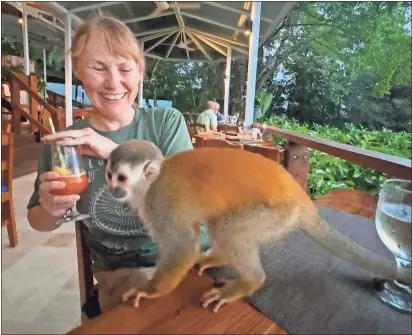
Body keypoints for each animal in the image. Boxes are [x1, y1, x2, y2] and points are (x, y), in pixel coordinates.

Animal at [105, 138, 408, 312]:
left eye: (121, 178)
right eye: (109, 175)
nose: (111, 189)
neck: (149, 184)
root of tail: (302, 199)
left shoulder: (158, 204)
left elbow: (183, 247)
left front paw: (149, 290)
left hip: (275, 215)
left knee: (226, 227)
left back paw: (249, 282)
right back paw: (219, 258)